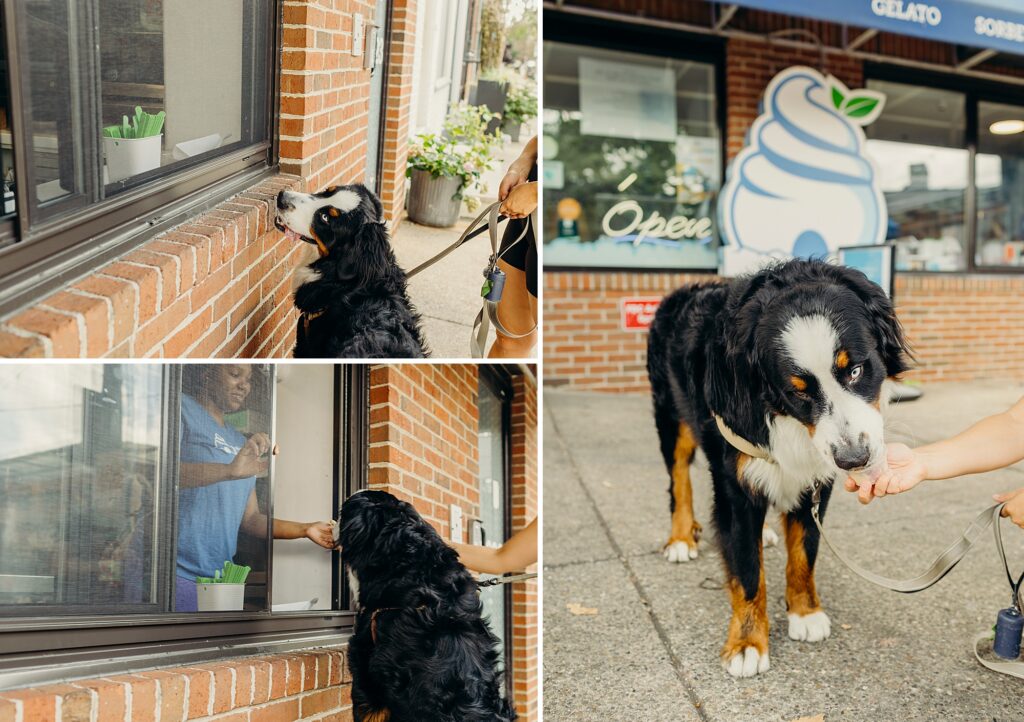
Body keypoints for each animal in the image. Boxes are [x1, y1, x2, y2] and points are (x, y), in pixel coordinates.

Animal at [647, 258, 913, 675]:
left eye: (855, 370)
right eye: (797, 390)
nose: (854, 459)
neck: (784, 416)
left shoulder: (816, 482)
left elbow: (804, 551)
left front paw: (805, 613)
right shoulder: (735, 487)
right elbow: (747, 572)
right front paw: (746, 643)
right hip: (672, 418)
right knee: (678, 480)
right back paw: (680, 539)